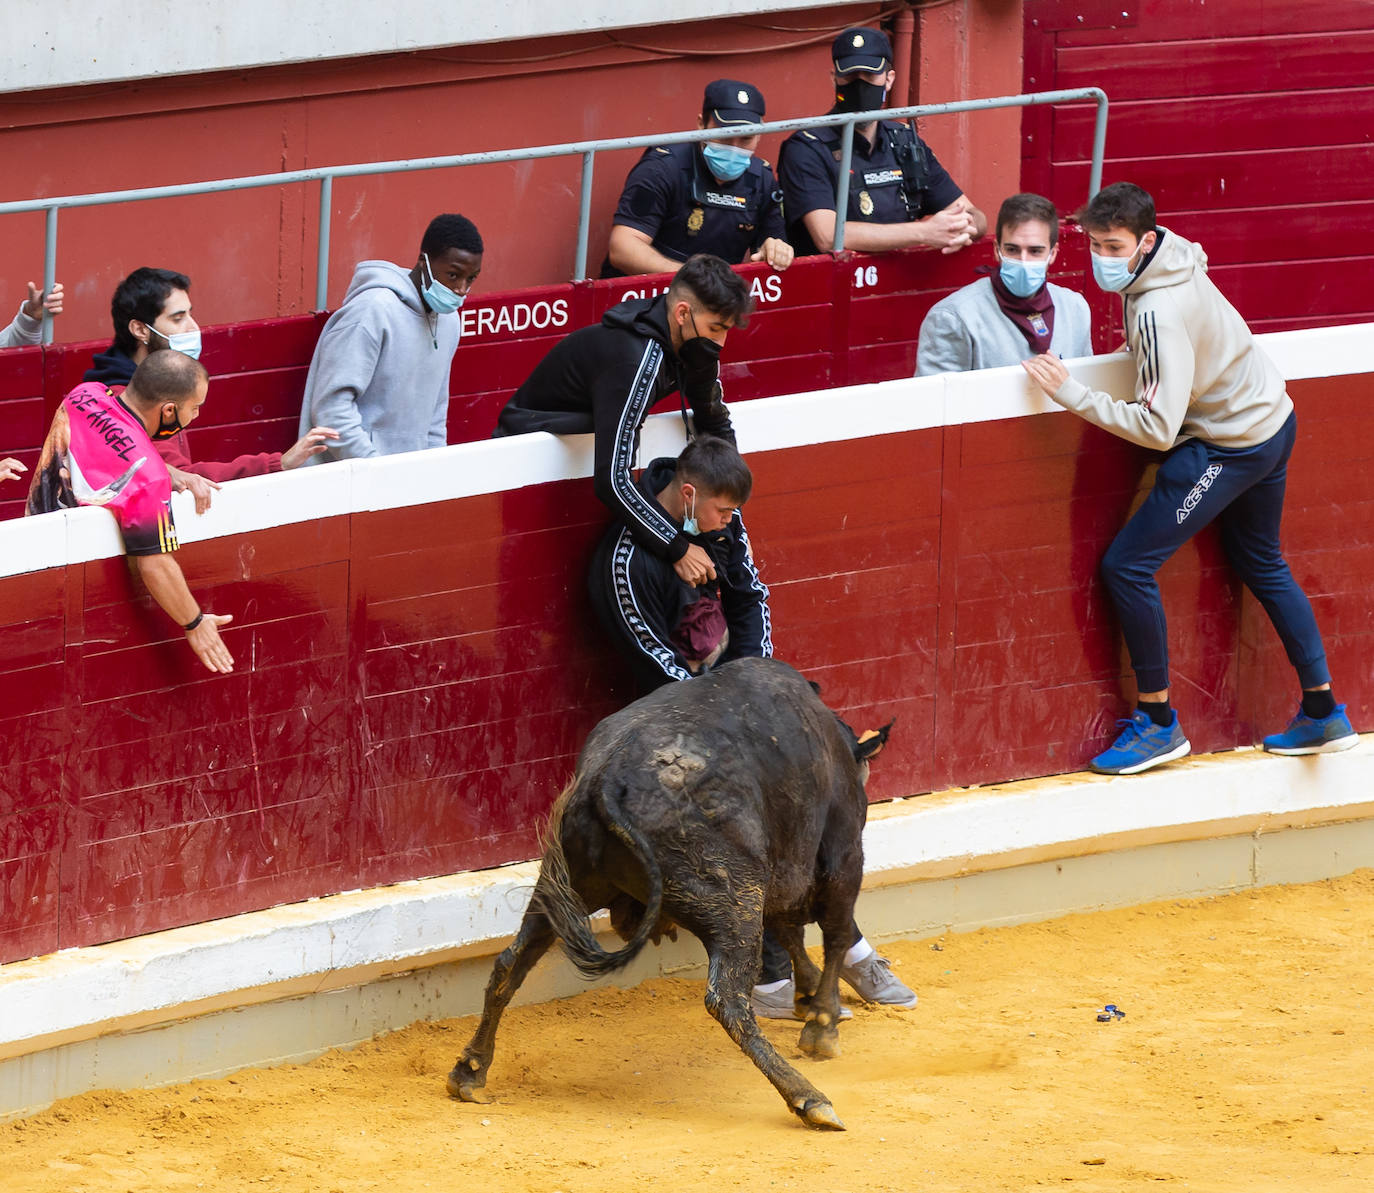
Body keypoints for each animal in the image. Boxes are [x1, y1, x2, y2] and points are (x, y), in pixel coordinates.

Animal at [442, 656, 890, 1132]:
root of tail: (604, 780)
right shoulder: (844, 854)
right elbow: (834, 933)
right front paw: (822, 1024)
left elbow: (791, 932)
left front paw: (807, 998)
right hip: (735, 905)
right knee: (728, 1000)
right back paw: (809, 1099)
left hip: (559, 889)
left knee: (511, 962)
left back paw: (469, 1071)